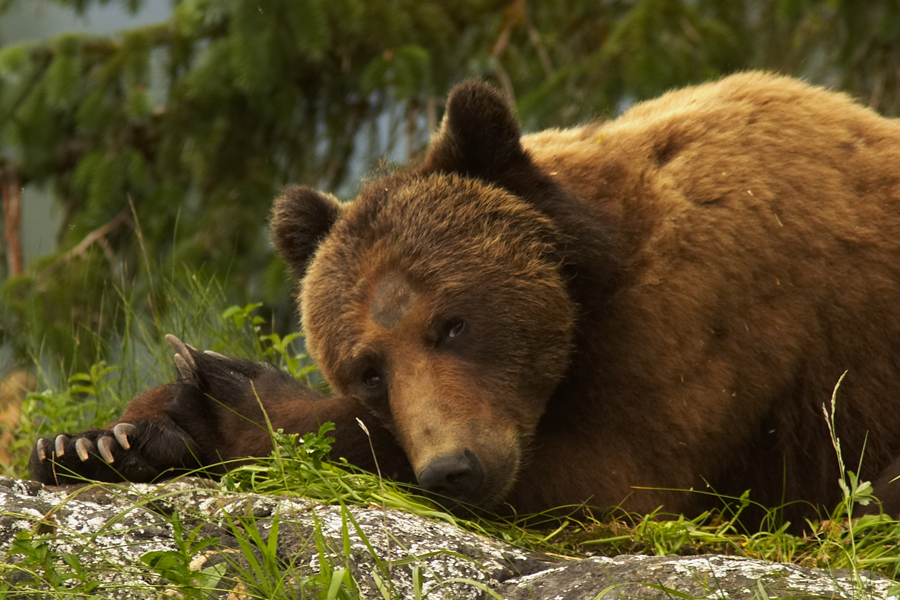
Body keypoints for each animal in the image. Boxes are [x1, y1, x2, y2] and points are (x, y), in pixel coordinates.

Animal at [31, 72, 900, 528]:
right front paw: (96, 441)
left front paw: (221, 387)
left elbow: (611, 477)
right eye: (369, 369)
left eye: (452, 325)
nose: (455, 467)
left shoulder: (715, 309)